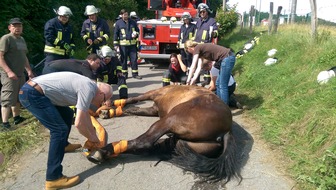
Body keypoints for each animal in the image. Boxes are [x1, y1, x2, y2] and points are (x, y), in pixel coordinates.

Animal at [88, 85, 242, 183]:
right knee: (156, 146)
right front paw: (108, 111)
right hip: (184, 143)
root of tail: (226, 130)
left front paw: (111, 105)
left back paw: (102, 151)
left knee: (144, 142)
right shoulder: (153, 109)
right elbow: (132, 109)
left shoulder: (154, 93)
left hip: (171, 119)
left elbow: (134, 99)